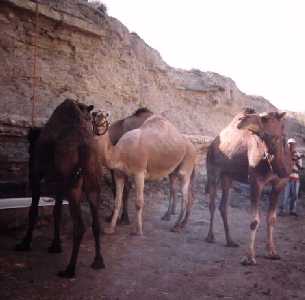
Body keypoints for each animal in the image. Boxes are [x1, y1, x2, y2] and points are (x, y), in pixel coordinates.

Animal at [15, 99, 104, 278]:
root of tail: (84, 146)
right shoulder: (59, 182)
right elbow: (57, 211)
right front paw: (56, 245)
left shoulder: (36, 174)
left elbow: (33, 210)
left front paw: (25, 243)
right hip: (92, 181)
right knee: (95, 222)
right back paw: (98, 261)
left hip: (73, 186)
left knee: (80, 226)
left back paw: (69, 269)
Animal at [205, 108, 290, 264]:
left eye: (265, 118)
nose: (242, 120)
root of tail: (212, 143)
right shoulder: (255, 181)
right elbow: (254, 220)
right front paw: (249, 257)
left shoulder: (280, 183)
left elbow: (272, 218)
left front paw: (272, 252)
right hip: (212, 170)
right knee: (212, 203)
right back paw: (210, 237)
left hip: (228, 176)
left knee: (223, 206)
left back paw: (230, 241)